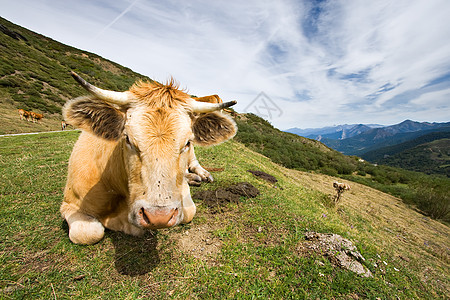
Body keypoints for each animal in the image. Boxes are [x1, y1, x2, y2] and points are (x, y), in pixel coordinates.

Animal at [62, 72, 239, 244]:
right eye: (127, 138)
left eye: (187, 142)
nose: (159, 217)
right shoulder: (69, 204)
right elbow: (88, 233)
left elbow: (188, 211)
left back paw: (202, 175)